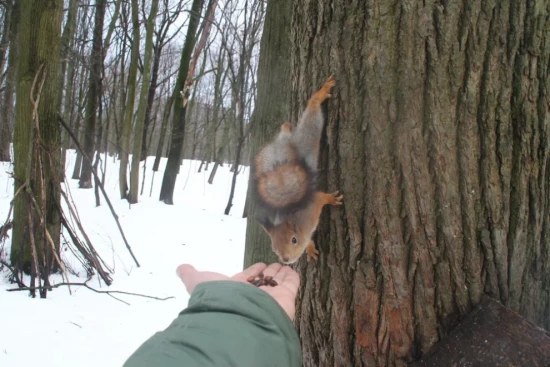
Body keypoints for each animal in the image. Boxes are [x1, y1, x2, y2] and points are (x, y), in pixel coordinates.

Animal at [251, 76, 344, 264]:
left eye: (293, 240)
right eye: (274, 248)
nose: (285, 259)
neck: (299, 223)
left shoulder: (313, 205)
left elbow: (322, 197)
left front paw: (332, 199)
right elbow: (309, 242)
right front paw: (310, 249)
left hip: (307, 139)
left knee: (311, 118)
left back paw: (319, 96)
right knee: (285, 133)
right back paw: (286, 127)